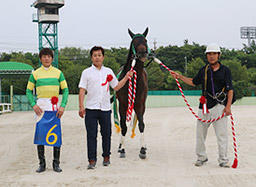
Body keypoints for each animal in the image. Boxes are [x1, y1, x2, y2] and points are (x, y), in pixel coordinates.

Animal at [116, 27, 150, 159]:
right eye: (134, 42)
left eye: (145, 40)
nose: (142, 53)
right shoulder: (123, 104)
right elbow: (123, 126)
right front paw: (122, 149)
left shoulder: (140, 104)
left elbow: (141, 124)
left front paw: (142, 149)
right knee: (122, 123)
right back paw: (120, 146)